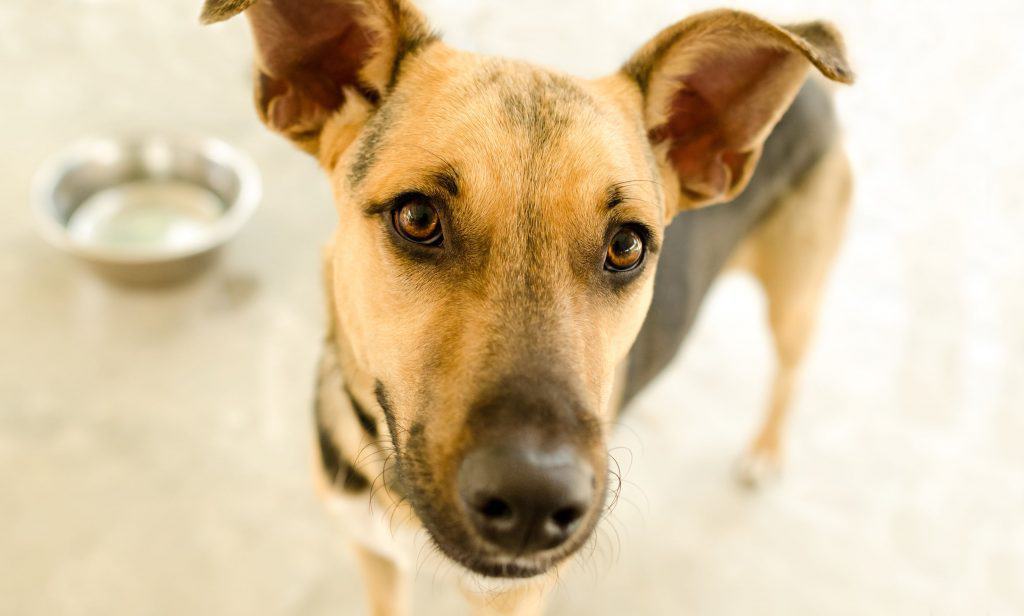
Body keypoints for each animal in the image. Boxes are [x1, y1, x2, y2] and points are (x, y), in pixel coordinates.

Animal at [199, 2, 856, 609]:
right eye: (417, 217)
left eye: (626, 245)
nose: (535, 502)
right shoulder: (373, 555)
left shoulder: (513, 597)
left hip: (795, 303)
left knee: (790, 371)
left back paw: (765, 451)